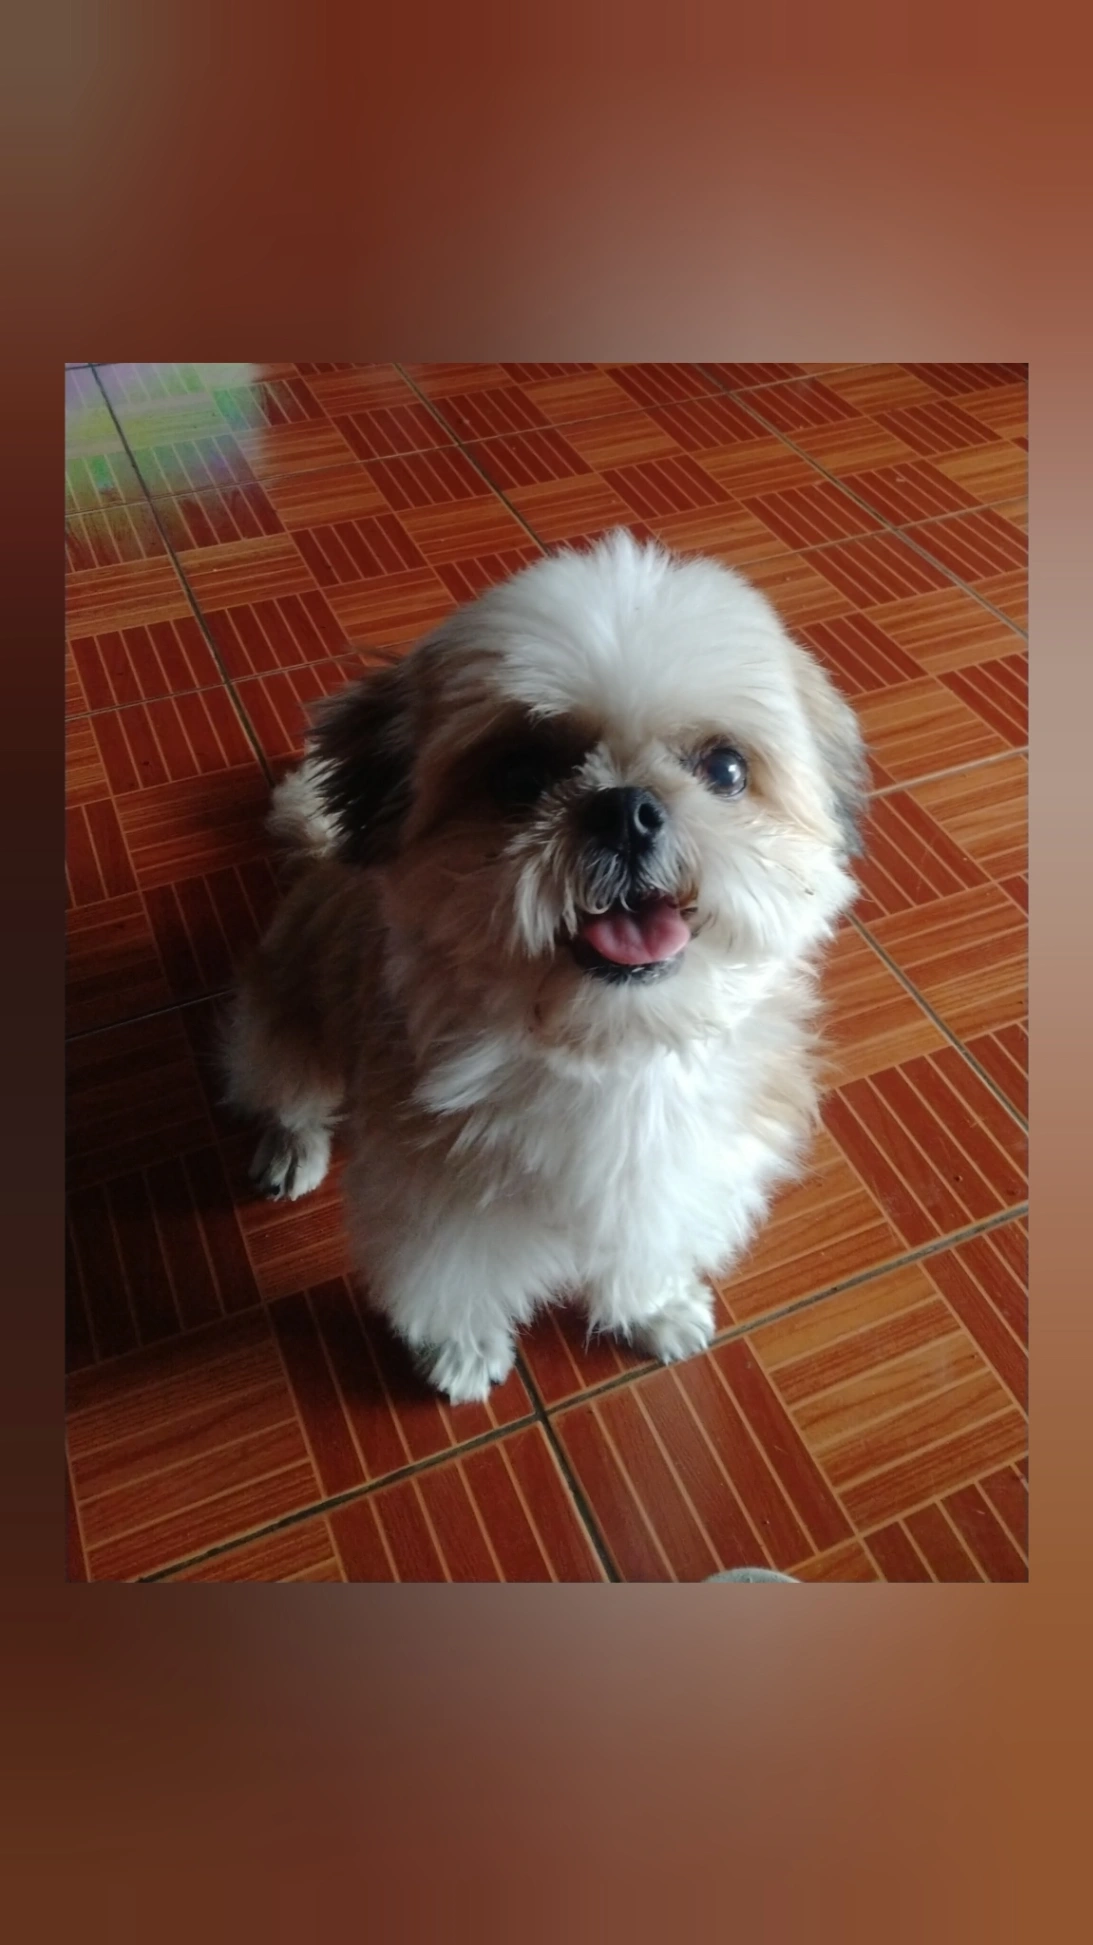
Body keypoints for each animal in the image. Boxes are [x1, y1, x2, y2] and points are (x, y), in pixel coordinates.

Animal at [223, 531, 866, 1404]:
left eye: (725, 769)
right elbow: (448, 1282)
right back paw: (293, 1146)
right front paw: (460, 1351)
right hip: (283, 1023)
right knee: (287, 1090)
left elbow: (644, 1248)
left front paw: (650, 1308)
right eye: (520, 777)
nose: (626, 808)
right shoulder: (439, 1203)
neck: (610, 1048)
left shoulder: (676, 1177)